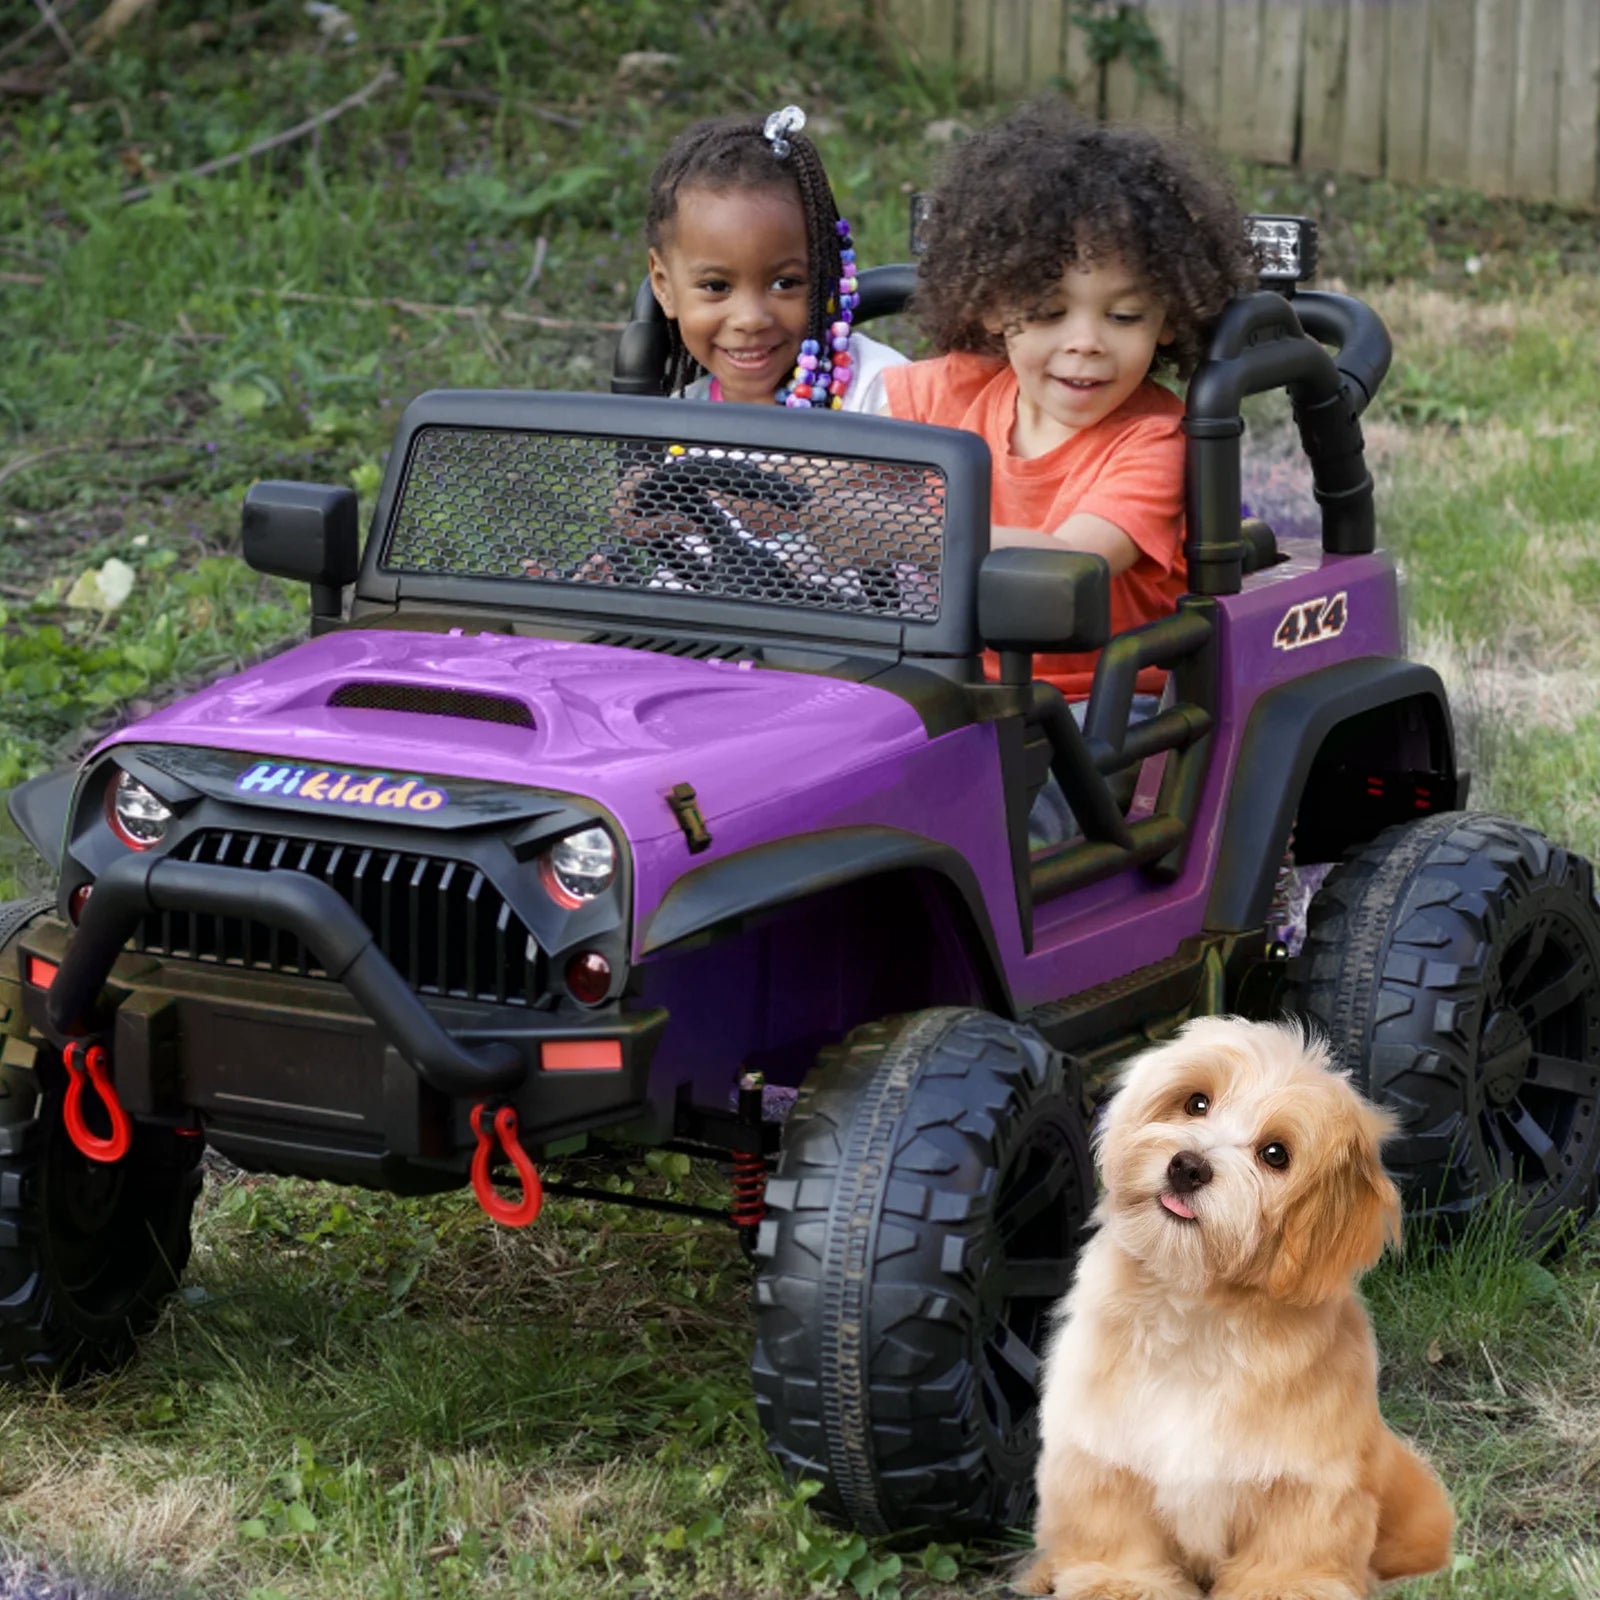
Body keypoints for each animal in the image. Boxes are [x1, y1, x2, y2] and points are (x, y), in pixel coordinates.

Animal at [1017, 1017, 1459, 1593]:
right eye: (1196, 1103)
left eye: (1275, 1155)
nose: (1187, 1166)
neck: (1196, 1312)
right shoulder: (1103, 1454)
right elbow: (1116, 1532)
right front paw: (1123, 1585)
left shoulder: (1307, 1481)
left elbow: (1292, 1548)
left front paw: (1285, 1589)